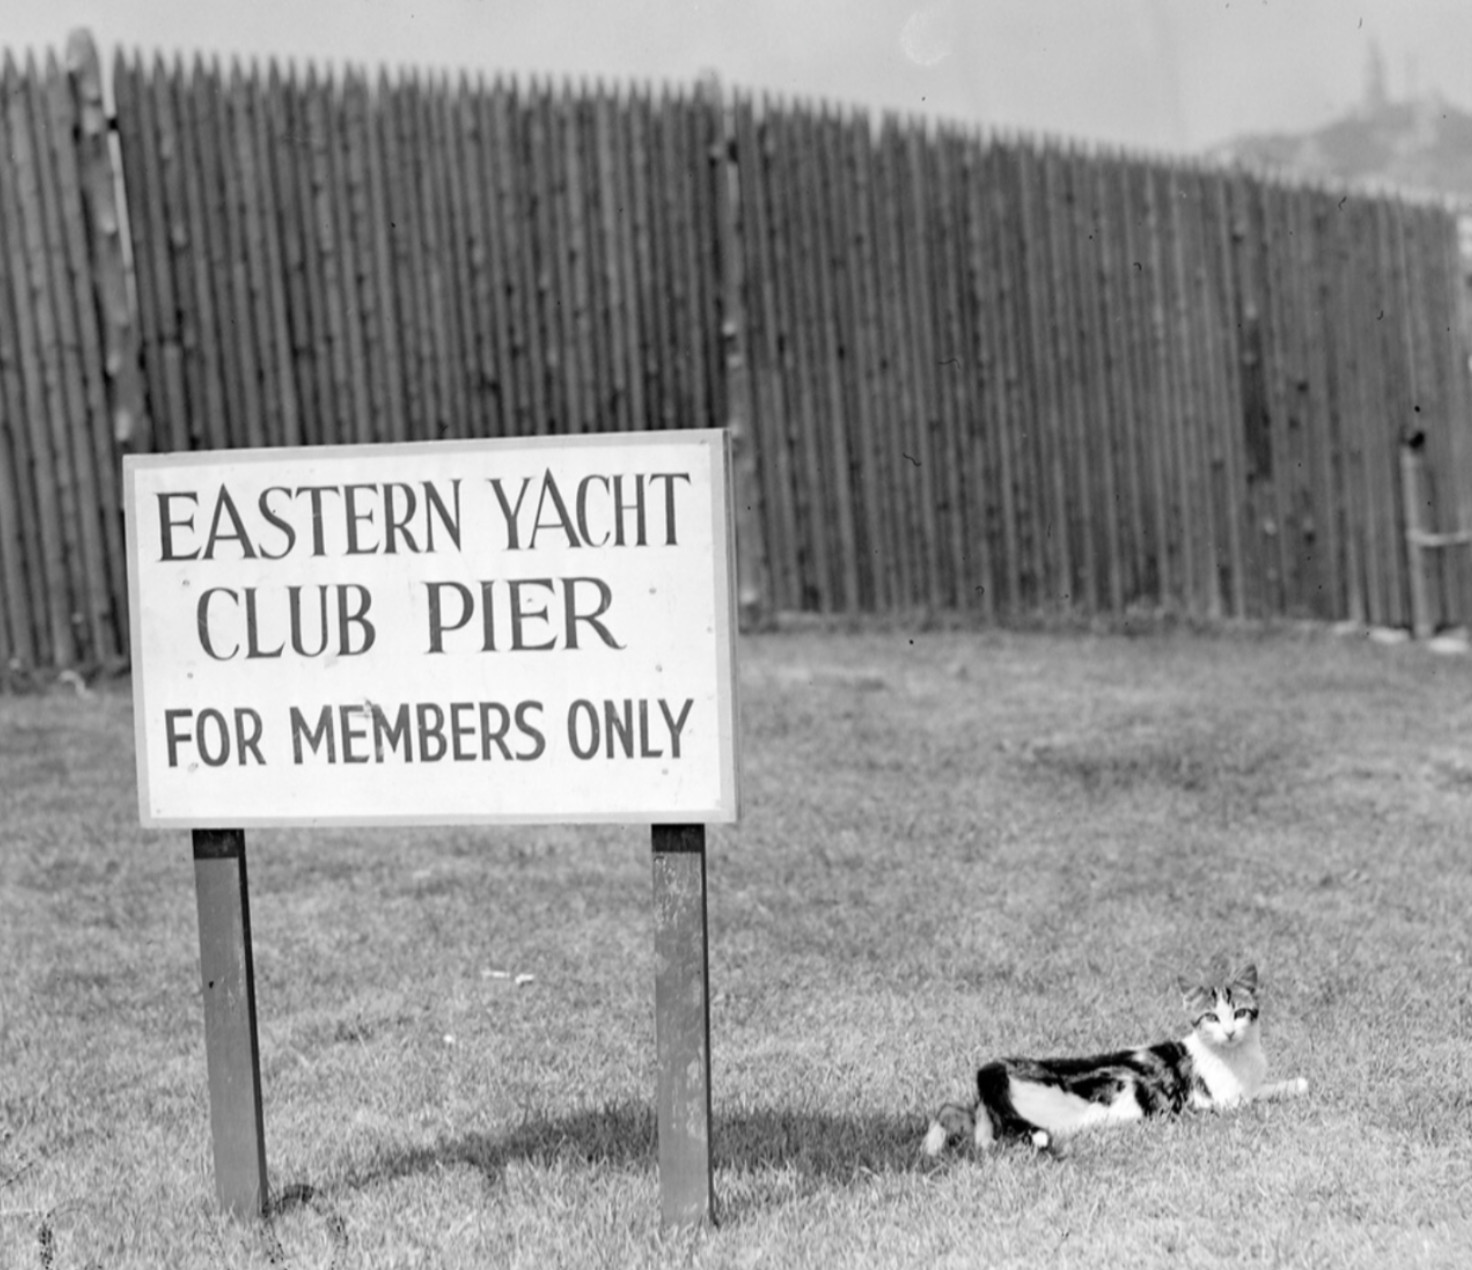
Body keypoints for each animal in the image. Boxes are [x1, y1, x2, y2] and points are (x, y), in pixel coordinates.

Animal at [924, 965, 1307, 1159]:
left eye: (1240, 1013)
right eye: (1211, 1017)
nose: (1228, 1032)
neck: (1237, 1055)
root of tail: (997, 1068)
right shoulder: (1225, 1101)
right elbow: (1262, 1093)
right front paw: (1297, 1084)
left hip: (990, 1117)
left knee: (955, 1116)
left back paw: (929, 1148)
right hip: (1037, 1124)